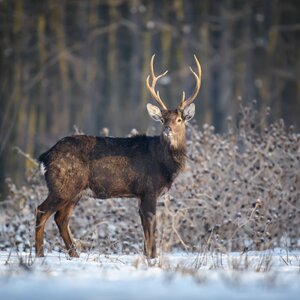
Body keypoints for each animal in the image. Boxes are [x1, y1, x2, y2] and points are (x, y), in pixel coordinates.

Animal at [35, 55, 202, 258]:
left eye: (179, 119)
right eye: (163, 119)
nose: (167, 129)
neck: (164, 164)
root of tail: (45, 156)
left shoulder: (140, 194)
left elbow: (145, 227)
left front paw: (147, 255)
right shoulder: (149, 189)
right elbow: (151, 225)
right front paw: (153, 257)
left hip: (75, 190)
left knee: (61, 218)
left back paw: (74, 254)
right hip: (62, 186)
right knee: (41, 211)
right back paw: (40, 254)